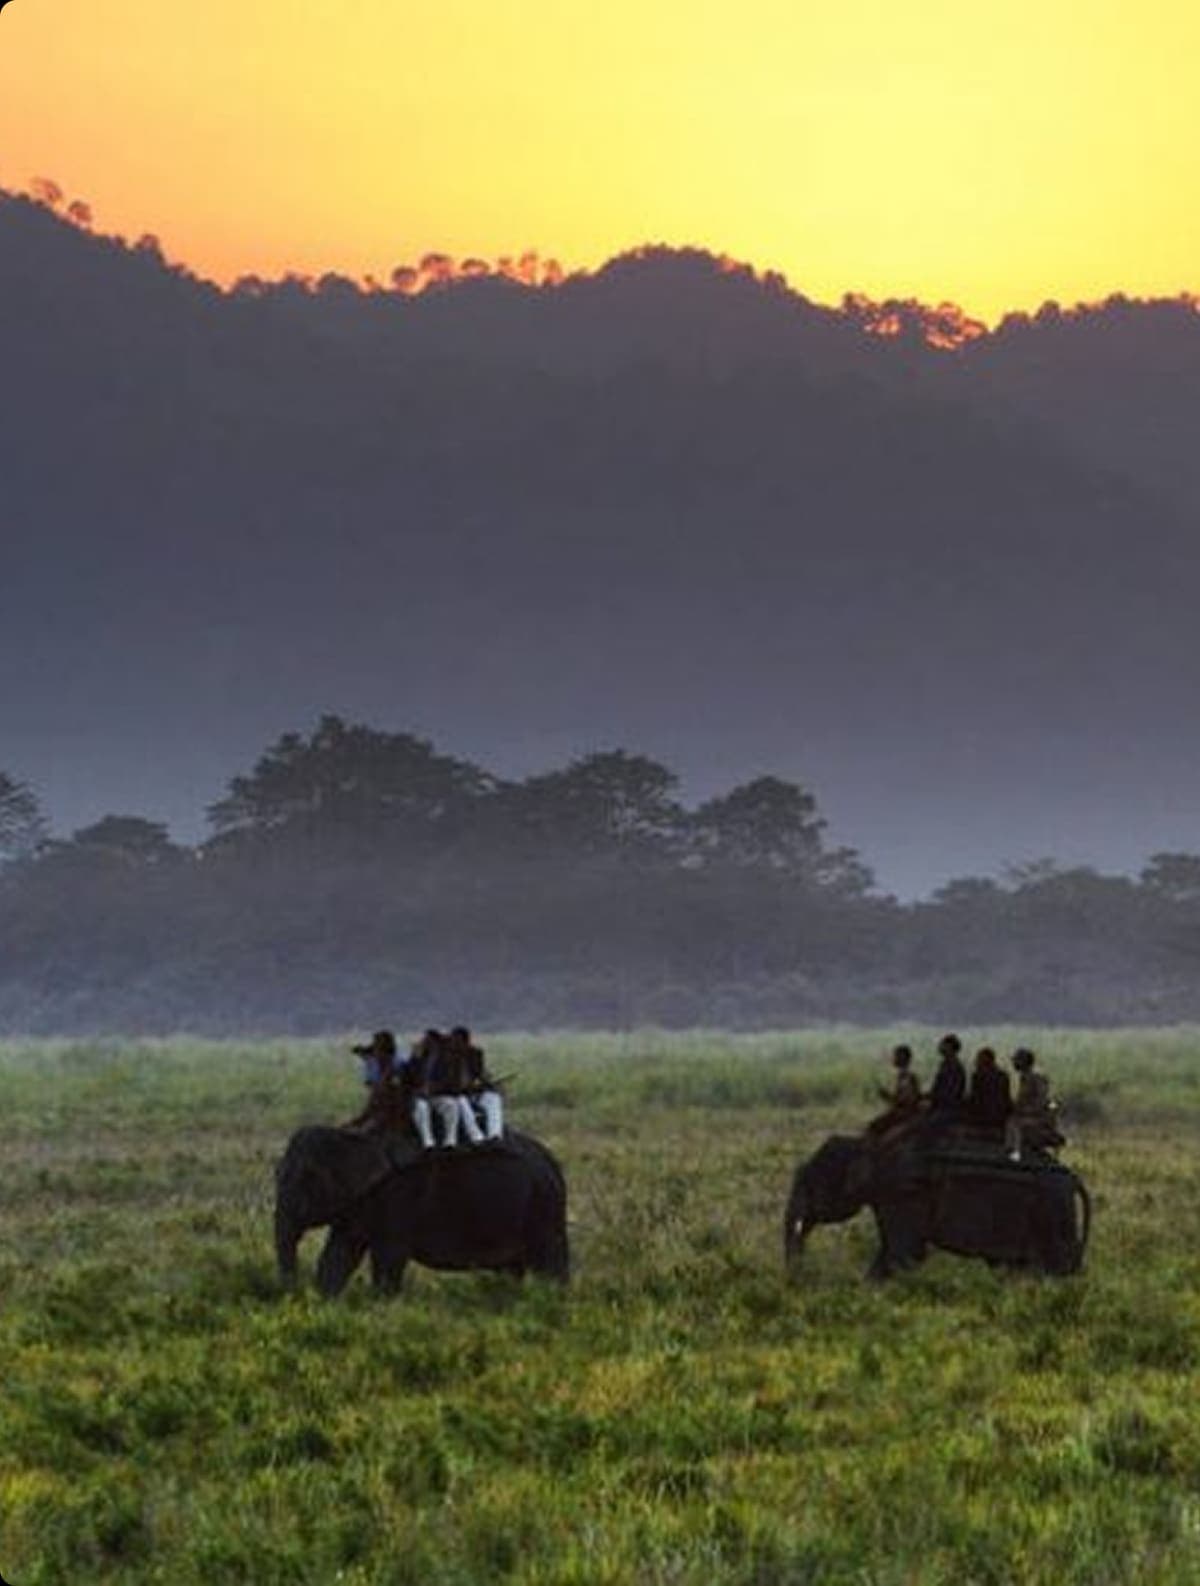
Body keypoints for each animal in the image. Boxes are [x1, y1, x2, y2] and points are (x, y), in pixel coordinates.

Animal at [275, 1124, 569, 1295]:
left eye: (308, 1178)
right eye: (278, 1174)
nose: (294, 1293)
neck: (352, 1134)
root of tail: (553, 1163)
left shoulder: (399, 1194)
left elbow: (389, 1256)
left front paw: (380, 1304)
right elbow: (339, 1253)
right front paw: (327, 1300)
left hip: (543, 1207)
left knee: (549, 1262)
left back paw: (552, 1299)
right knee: (512, 1270)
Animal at [783, 1131, 1090, 1280]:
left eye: (809, 1181)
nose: (798, 1277)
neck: (866, 1142)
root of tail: (1072, 1178)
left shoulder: (903, 1194)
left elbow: (904, 1253)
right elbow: (894, 1251)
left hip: (1051, 1211)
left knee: (1055, 1266)